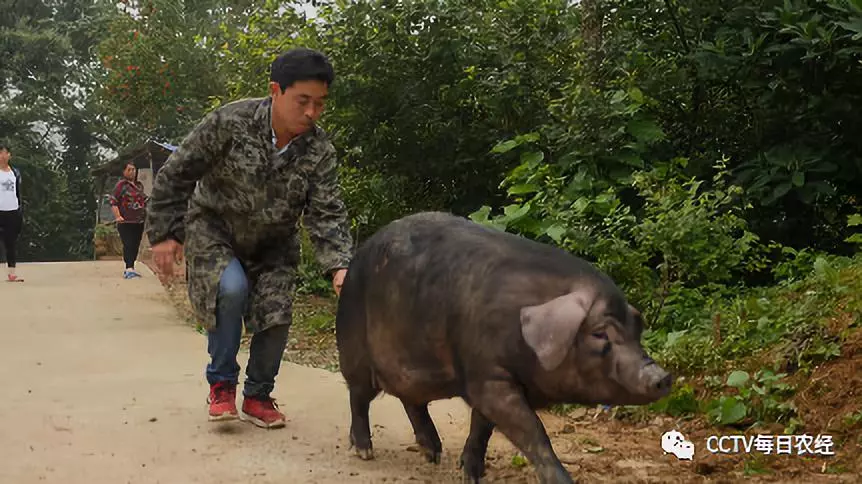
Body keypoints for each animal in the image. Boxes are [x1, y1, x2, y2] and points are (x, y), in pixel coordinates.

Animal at [338, 212, 676, 484]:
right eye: (600, 334)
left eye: (636, 330)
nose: (662, 376)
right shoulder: (488, 375)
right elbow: (533, 431)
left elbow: (483, 426)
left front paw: (471, 474)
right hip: (355, 350)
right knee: (358, 396)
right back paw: (364, 451)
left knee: (412, 400)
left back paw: (433, 454)